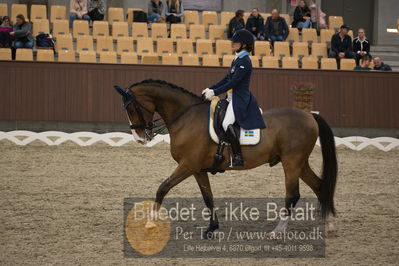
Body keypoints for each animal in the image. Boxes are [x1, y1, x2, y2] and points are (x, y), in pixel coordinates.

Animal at [115, 79, 338, 237]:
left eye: (131, 108)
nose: (140, 139)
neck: (186, 116)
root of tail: (309, 115)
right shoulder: (198, 169)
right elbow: (208, 197)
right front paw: (212, 228)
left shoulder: (188, 165)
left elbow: (163, 188)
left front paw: (150, 222)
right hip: (299, 163)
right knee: (319, 186)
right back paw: (329, 225)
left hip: (291, 162)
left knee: (292, 195)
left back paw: (277, 232)